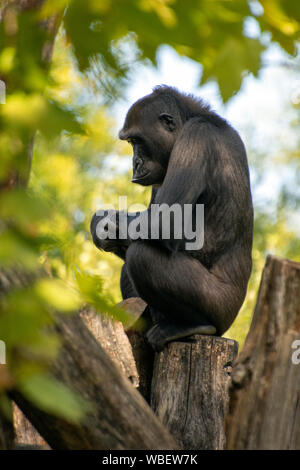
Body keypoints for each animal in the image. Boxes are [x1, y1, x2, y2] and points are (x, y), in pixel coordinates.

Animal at [89, 85, 253, 348]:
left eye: (136, 140)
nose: (135, 162)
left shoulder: (196, 139)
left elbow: (163, 224)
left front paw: (105, 224)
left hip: (222, 309)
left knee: (142, 256)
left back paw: (193, 325)